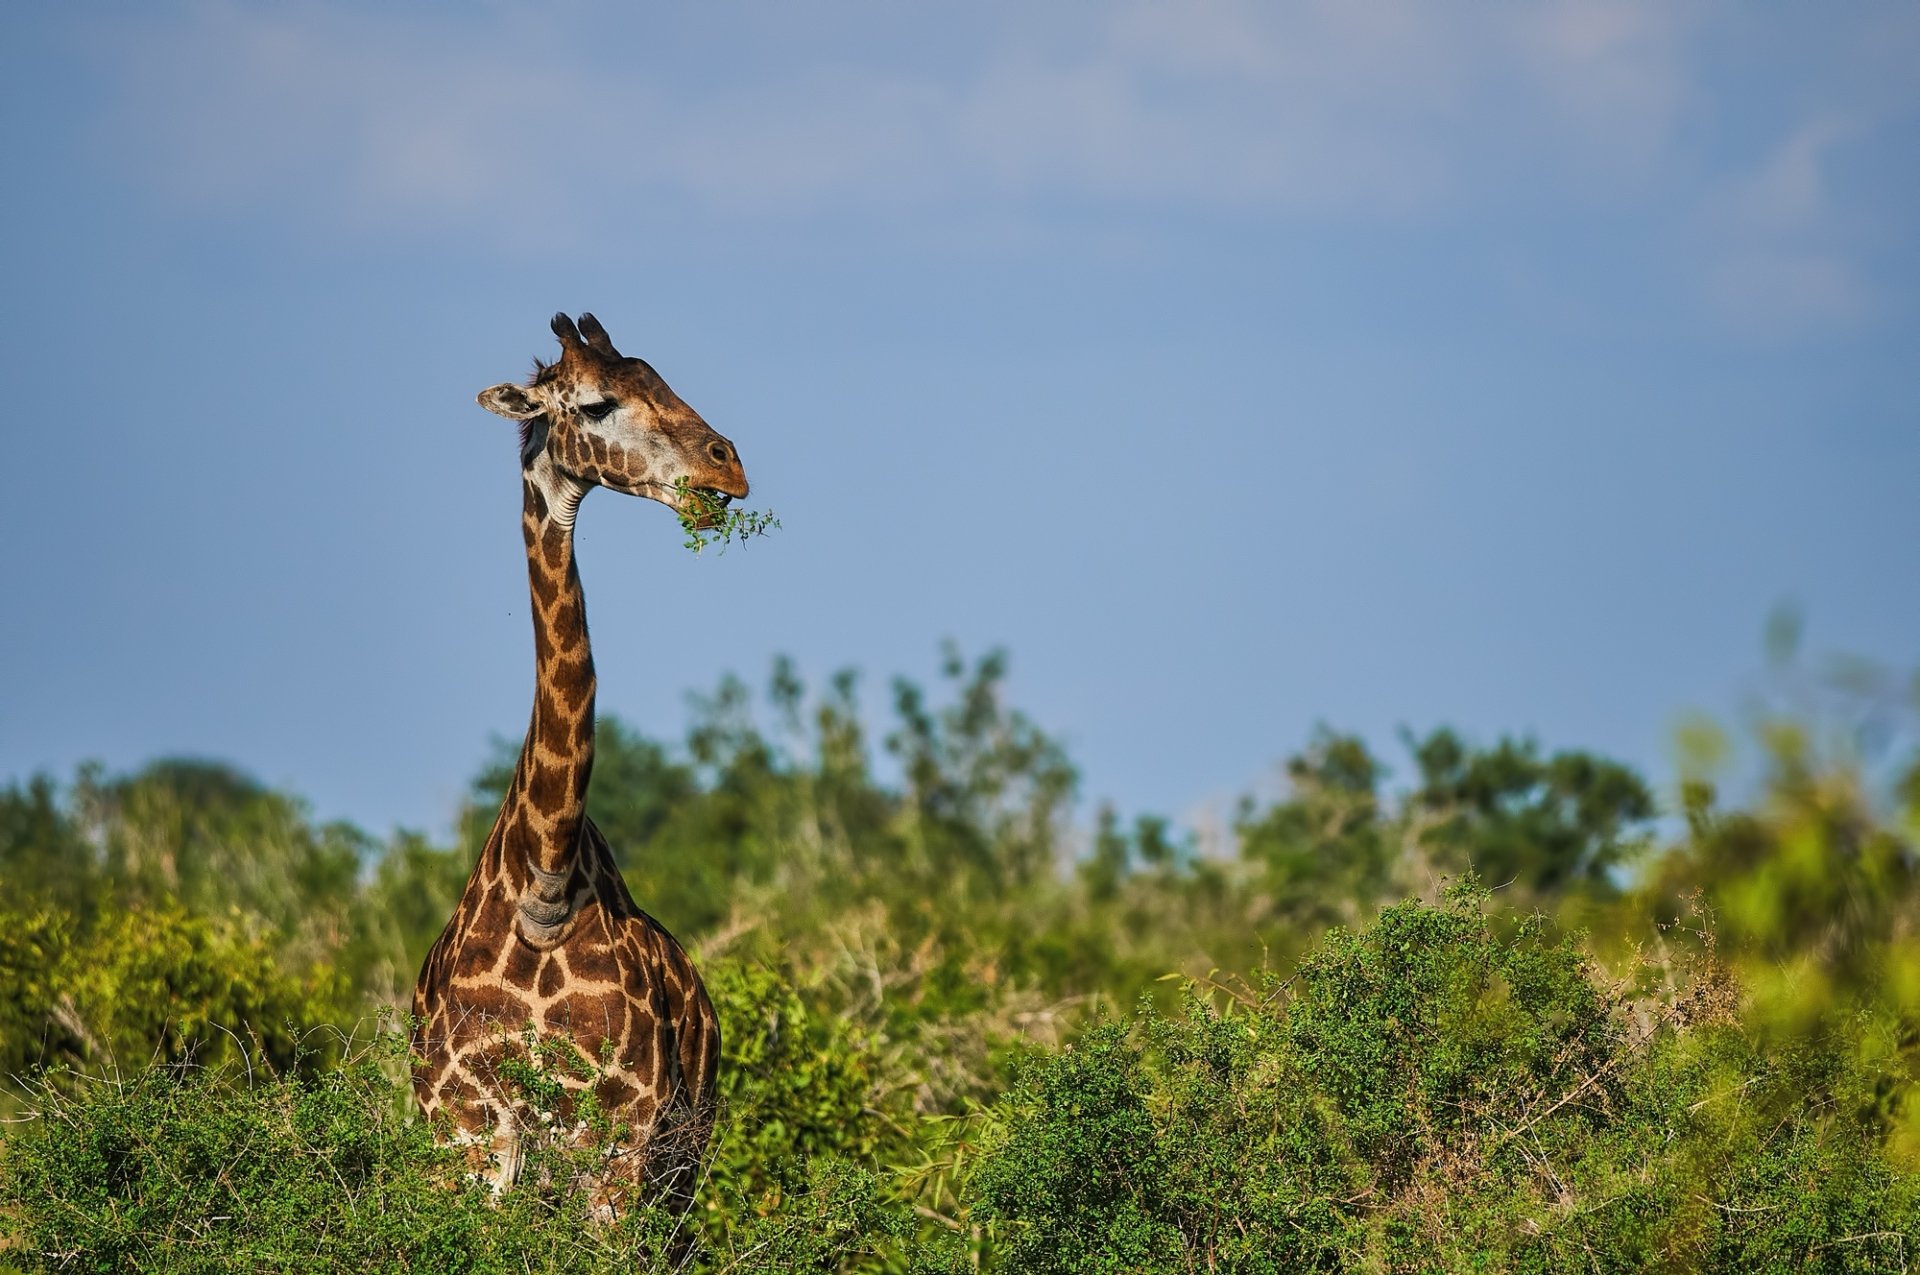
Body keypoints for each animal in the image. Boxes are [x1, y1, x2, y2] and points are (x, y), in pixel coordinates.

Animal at [411, 312, 744, 1214]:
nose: (728, 464)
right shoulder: (465, 1132)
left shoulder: (620, 1135)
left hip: (683, 1162)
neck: (547, 883)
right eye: (596, 404)